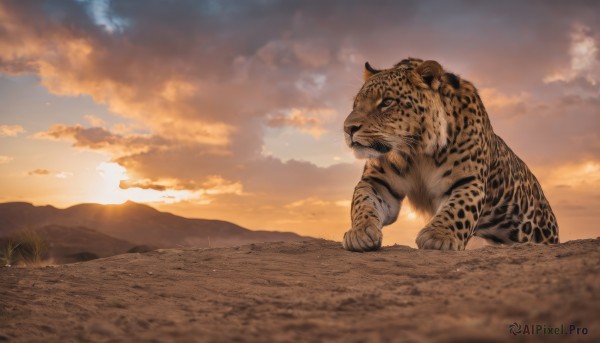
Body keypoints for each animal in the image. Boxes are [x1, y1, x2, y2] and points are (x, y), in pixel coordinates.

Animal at [342, 58, 556, 253]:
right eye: (356, 104)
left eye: (387, 102)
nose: (348, 128)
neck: (416, 151)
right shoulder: (378, 183)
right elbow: (363, 202)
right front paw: (360, 232)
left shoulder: (468, 181)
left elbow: (458, 207)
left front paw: (438, 236)